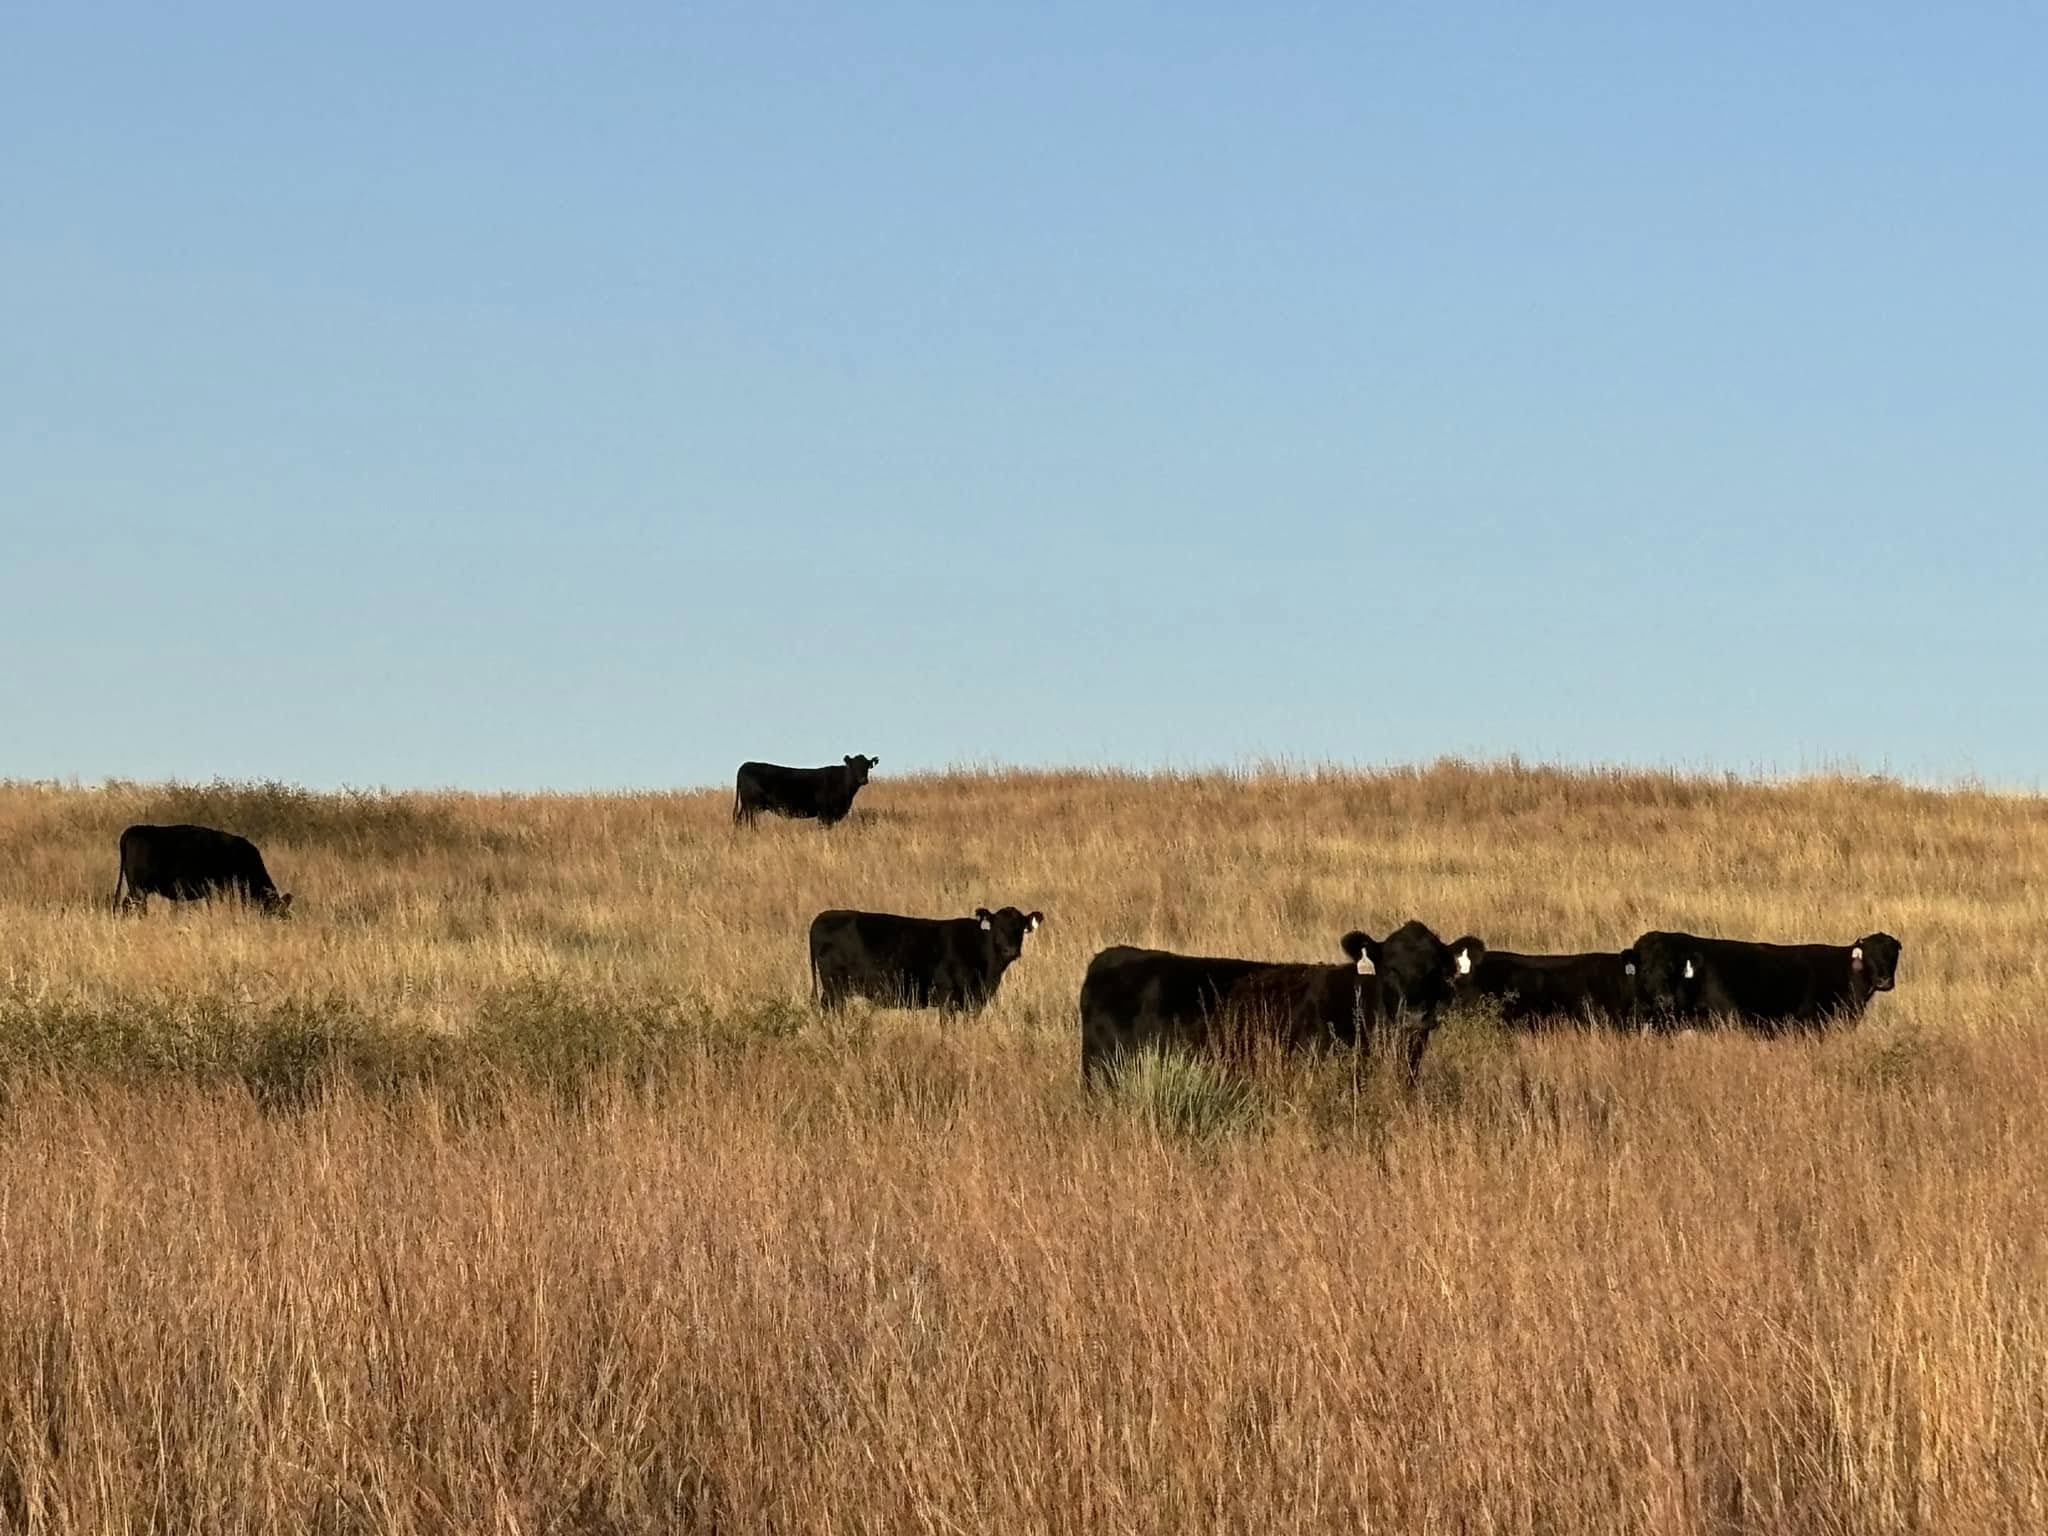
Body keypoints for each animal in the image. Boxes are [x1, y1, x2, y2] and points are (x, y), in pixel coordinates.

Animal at [734, 755, 878, 827]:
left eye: (867, 766)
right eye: (853, 766)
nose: (863, 779)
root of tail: (745, 765)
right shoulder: (824, 813)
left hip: (747, 806)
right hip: (752, 806)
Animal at [811, 906, 1045, 1013]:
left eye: (1020, 929)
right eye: (998, 928)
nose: (1010, 950)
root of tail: (823, 916)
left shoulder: (974, 1001)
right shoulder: (946, 996)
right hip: (834, 988)